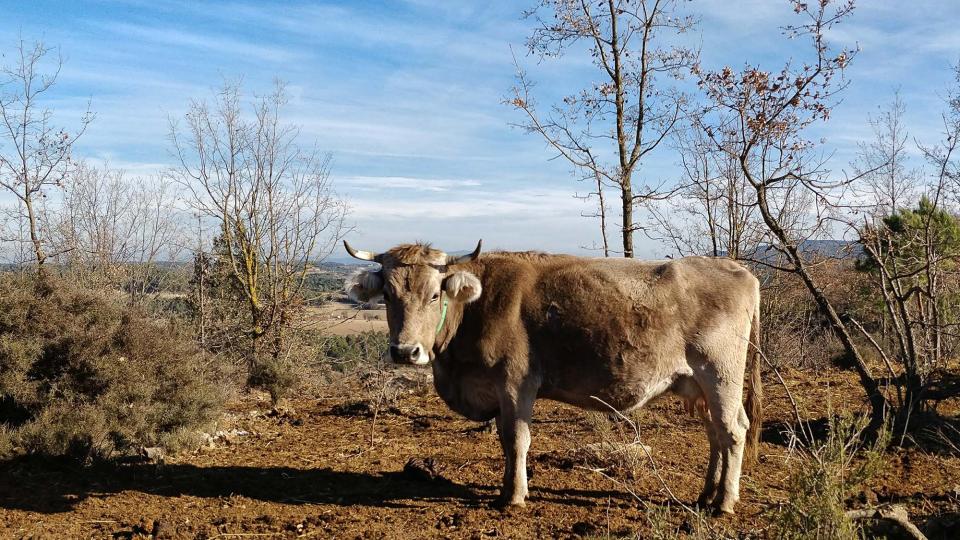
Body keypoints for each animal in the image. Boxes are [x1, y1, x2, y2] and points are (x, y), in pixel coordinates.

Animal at [344, 242, 764, 516]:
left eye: (434, 295)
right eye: (388, 296)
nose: (405, 351)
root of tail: (738, 269)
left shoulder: (516, 383)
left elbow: (516, 439)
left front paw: (513, 496)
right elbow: (506, 441)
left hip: (721, 374)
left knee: (733, 430)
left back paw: (724, 503)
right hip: (702, 386)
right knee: (715, 434)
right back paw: (705, 496)